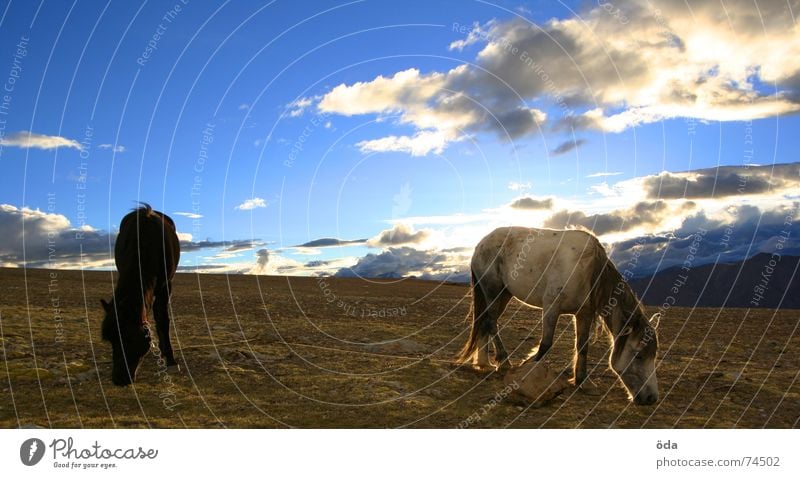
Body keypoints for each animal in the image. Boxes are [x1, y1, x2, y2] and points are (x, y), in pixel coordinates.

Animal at [101, 204, 181, 386]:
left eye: (130, 338)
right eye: (111, 339)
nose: (119, 379)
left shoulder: (166, 286)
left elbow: (163, 319)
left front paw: (171, 360)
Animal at [460, 227, 660, 404]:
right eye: (639, 355)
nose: (651, 398)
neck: (587, 269)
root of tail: (481, 243)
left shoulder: (584, 314)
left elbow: (582, 346)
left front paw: (583, 381)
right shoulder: (551, 307)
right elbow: (546, 344)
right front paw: (526, 369)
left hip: (504, 294)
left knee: (485, 322)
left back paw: (484, 363)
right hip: (493, 291)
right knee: (491, 322)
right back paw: (504, 361)